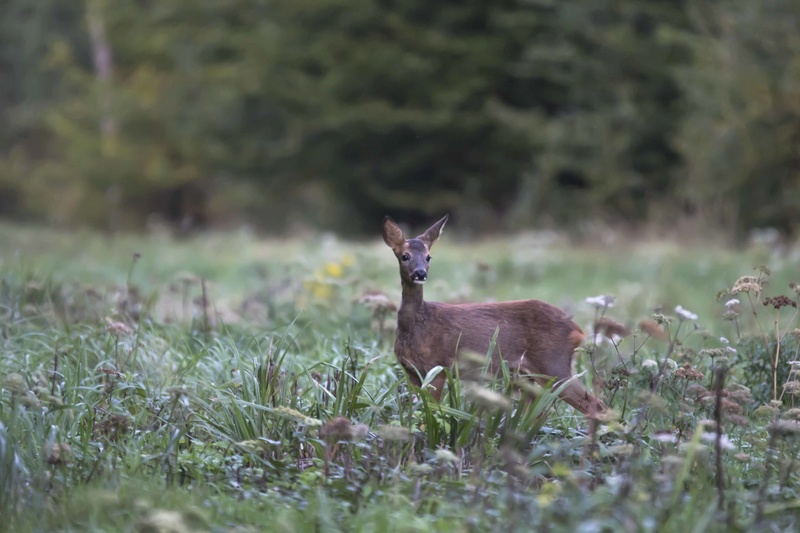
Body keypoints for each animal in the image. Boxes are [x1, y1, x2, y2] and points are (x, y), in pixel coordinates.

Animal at [384, 214, 604, 414]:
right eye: (405, 256)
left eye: (429, 257)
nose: (420, 274)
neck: (417, 324)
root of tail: (577, 330)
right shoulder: (411, 371)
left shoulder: (437, 367)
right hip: (528, 376)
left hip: (553, 365)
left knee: (595, 406)